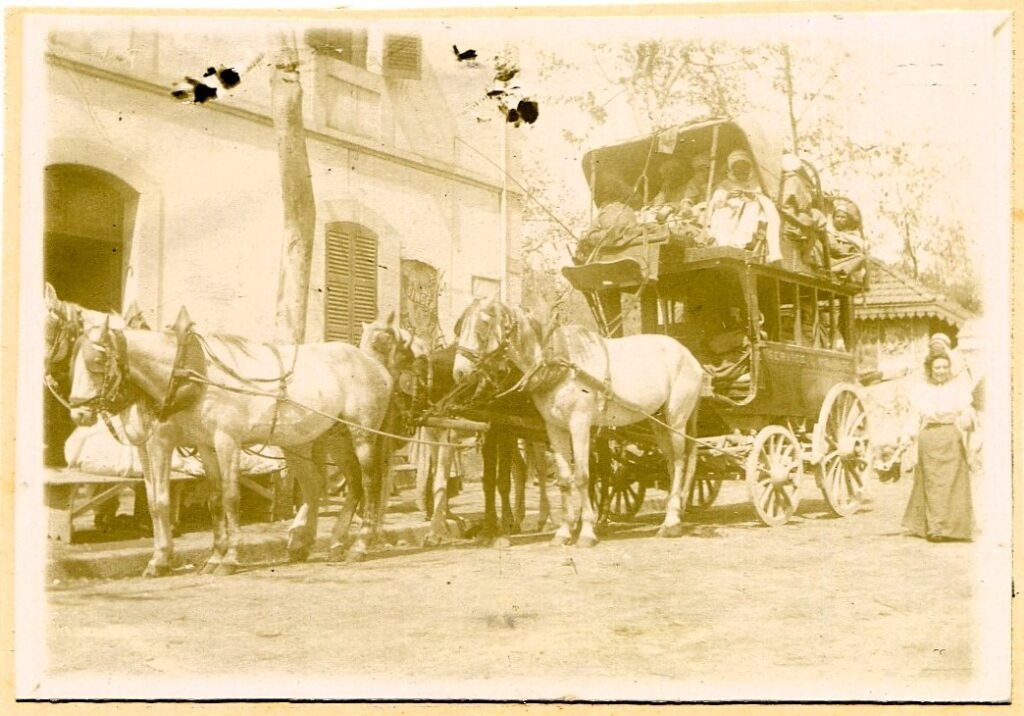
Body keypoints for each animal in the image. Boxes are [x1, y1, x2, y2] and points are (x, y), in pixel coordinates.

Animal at [67, 307, 395, 574]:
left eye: (98, 360)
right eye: (73, 362)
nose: (78, 412)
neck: (189, 374)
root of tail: (375, 365)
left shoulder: (218, 441)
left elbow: (227, 497)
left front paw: (228, 558)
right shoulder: (201, 446)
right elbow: (207, 500)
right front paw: (207, 557)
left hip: (362, 435)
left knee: (369, 484)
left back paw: (358, 546)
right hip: (327, 439)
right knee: (333, 486)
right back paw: (322, 544)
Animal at [452, 297, 703, 547]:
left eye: (483, 324)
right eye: (460, 326)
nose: (460, 373)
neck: (560, 364)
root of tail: (690, 356)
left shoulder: (579, 424)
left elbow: (582, 476)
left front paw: (587, 532)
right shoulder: (554, 428)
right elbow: (565, 479)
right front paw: (563, 532)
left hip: (676, 418)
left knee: (679, 462)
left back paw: (671, 522)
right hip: (657, 421)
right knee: (670, 463)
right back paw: (671, 515)